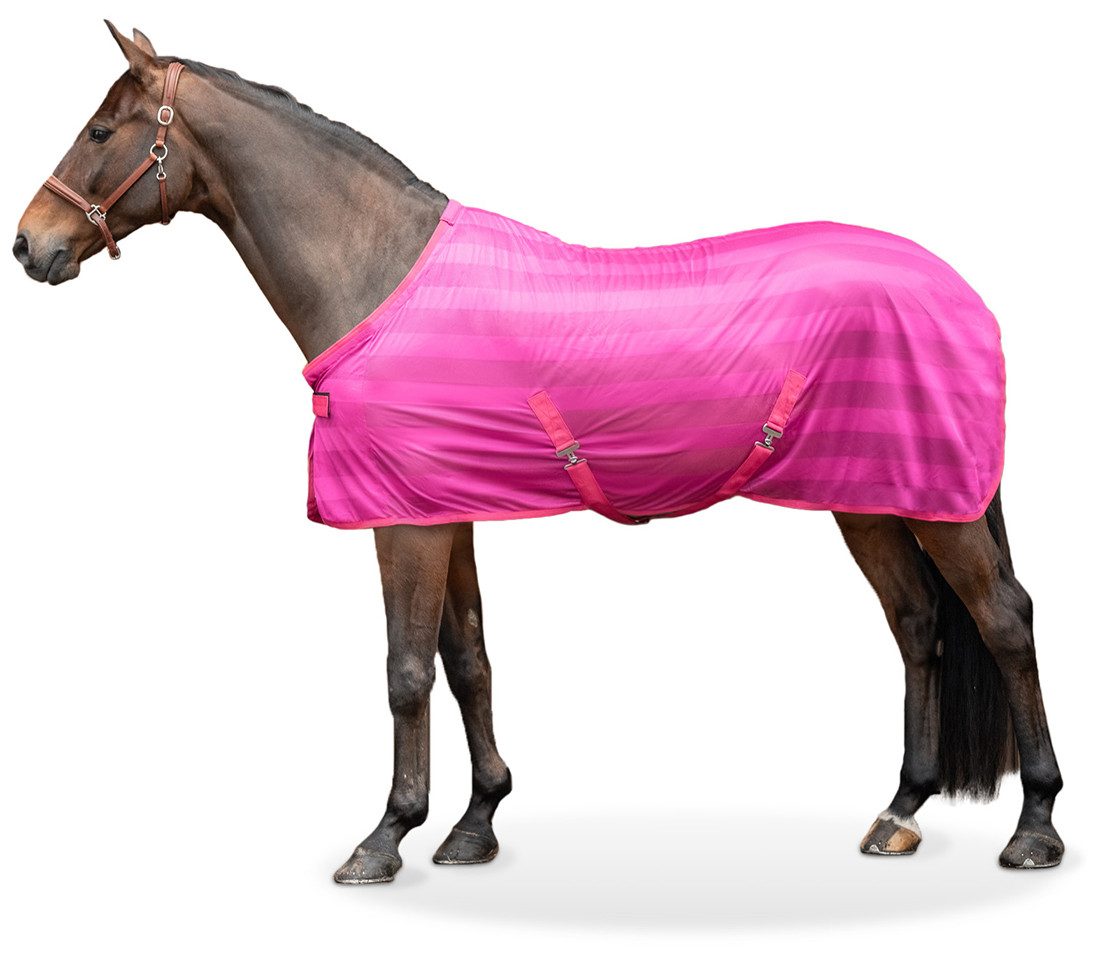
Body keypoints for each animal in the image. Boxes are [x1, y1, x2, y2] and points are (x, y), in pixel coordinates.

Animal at [13, 22, 1064, 882]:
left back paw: (1036, 827)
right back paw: (900, 810)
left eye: (100, 132)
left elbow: (404, 670)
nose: (29, 246)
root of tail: (957, 288)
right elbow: (468, 657)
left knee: (1003, 619)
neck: (379, 270)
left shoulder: (402, 523)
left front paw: (384, 837)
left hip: (933, 502)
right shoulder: (445, 512)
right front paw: (474, 824)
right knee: (918, 624)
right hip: (868, 495)